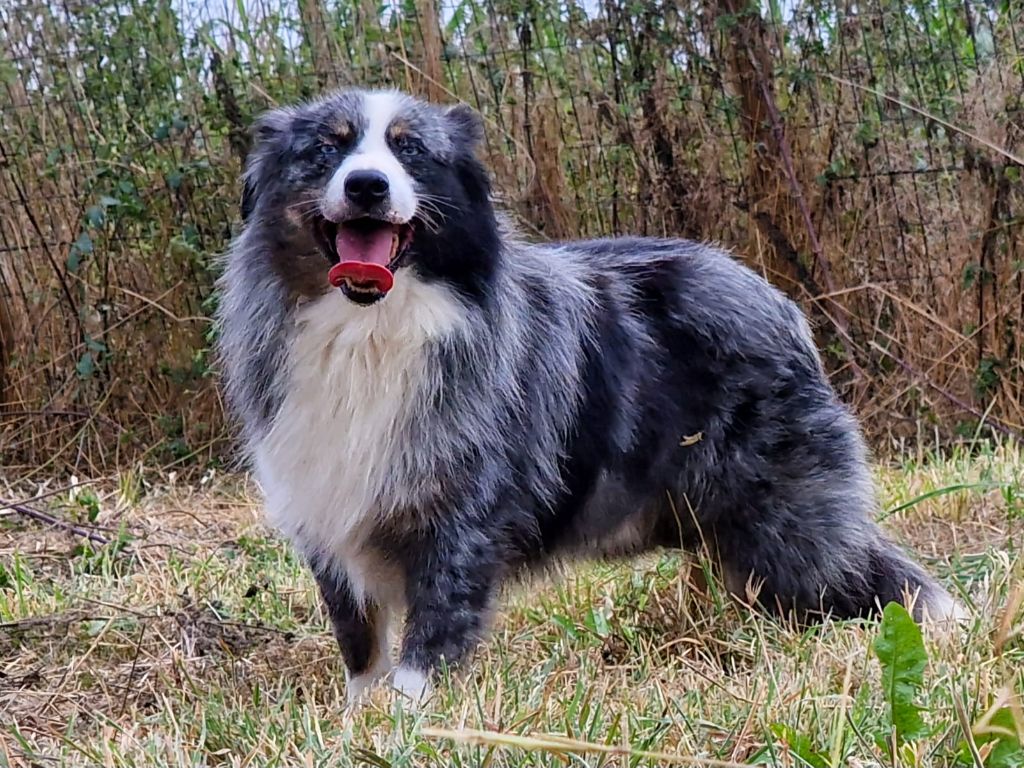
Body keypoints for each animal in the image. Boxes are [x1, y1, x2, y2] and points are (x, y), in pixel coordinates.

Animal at [214, 87, 958, 708]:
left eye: (411, 150)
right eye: (327, 148)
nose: (367, 185)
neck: (370, 329)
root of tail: (773, 299)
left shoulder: (462, 522)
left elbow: (427, 647)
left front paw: (408, 724)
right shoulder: (329, 511)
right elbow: (361, 646)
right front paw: (357, 721)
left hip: (790, 531)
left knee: (863, 577)